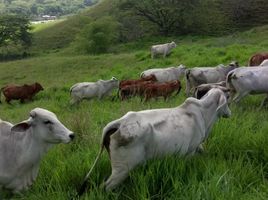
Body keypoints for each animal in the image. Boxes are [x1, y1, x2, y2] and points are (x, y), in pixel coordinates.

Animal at [80, 88, 231, 191]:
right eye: (227, 100)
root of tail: (119, 123)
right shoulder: (190, 151)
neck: (204, 113)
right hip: (121, 170)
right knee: (105, 187)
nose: (229, 113)